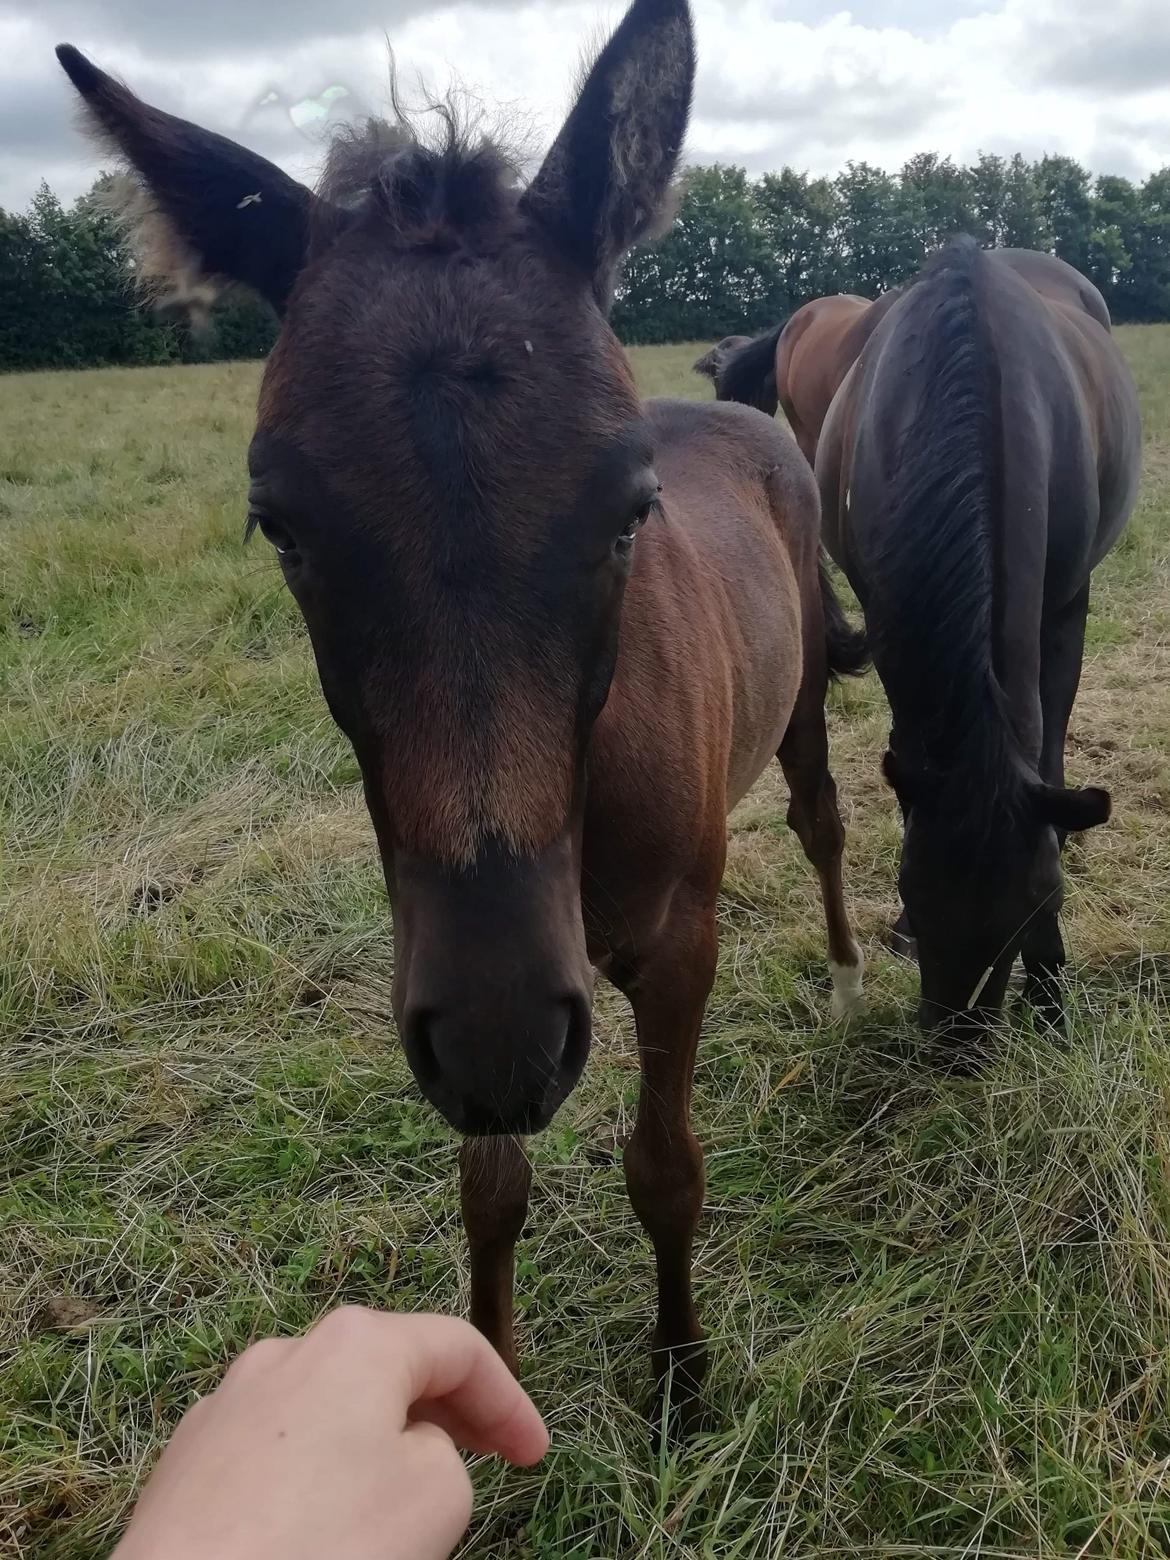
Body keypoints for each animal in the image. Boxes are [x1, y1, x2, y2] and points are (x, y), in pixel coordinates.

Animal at [62, 0, 873, 1422]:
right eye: (279, 524)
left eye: (630, 510)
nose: (505, 1041)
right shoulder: (445, 983)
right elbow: (488, 1188)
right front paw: (485, 1389)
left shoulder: (679, 942)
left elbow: (664, 1164)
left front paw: (681, 1377)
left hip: (798, 711)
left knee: (823, 819)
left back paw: (841, 978)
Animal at [817, 237, 1141, 1048]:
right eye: (912, 889)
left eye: (1035, 905)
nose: (958, 1051)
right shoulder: (887, 620)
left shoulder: (1063, 607)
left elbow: (1046, 738)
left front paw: (1051, 986)